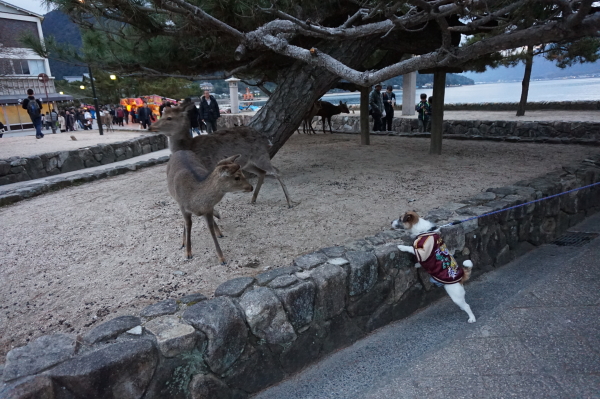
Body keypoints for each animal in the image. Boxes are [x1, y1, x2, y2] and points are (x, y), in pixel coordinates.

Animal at [148, 101, 292, 208]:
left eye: (169, 118)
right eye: (162, 114)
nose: (150, 127)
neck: (189, 146)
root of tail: (265, 138)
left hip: (261, 156)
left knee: (276, 171)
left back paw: (289, 202)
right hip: (247, 163)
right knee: (262, 172)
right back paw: (253, 199)